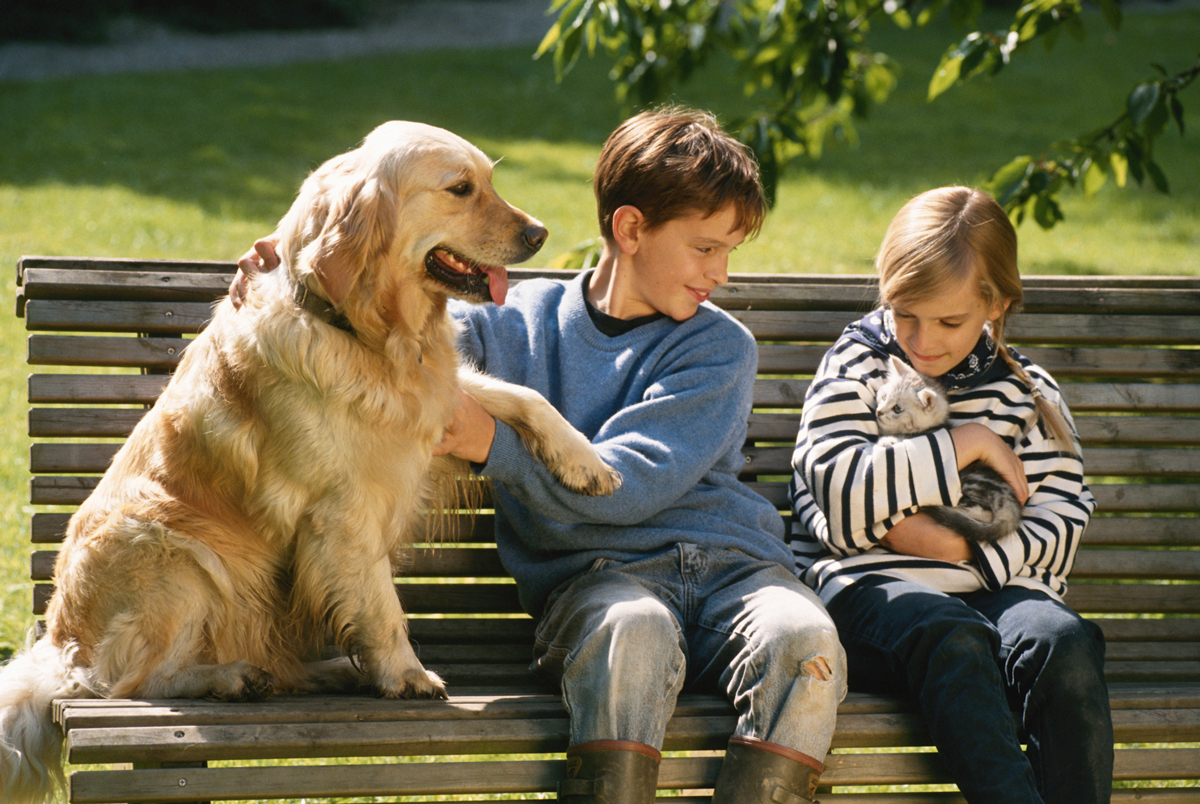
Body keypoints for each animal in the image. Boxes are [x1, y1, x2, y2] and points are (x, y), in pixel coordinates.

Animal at [0, 121, 619, 804]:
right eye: (461, 189)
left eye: (489, 180)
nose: (538, 232)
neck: (364, 333)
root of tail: (59, 646)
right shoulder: (342, 509)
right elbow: (380, 602)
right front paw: (405, 673)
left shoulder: (434, 403)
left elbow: (523, 395)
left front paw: (585, 462)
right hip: (177, 556)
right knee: (131, 683)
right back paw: (234, 678)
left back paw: (326, 669)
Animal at [873, 355, 1022, 544]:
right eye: (884, 396)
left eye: (897, 409)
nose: (879, 412)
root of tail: (1011, 503)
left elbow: (901, 439)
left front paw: (887, 441)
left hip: (968, 484)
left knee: (983, 512)